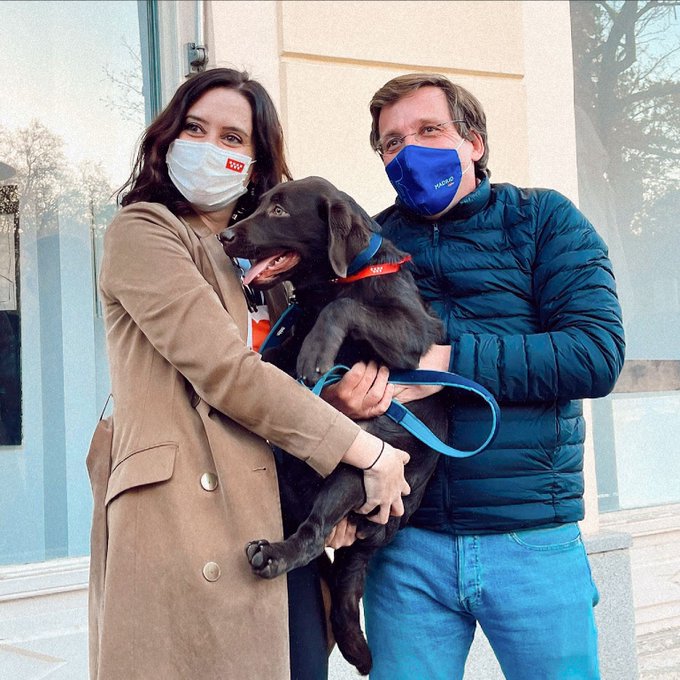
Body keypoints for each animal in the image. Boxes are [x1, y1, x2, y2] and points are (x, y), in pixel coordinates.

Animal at [220, 175, 448, 676]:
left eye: (280, 211)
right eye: (260, 204)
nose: (225, 237)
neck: (342, 278)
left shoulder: (415, 332)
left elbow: (346, 308)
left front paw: (317, 353)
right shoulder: (280, 349)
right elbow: (271, 358)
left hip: (352, 475)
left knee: (313, 534)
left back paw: (275, 554)